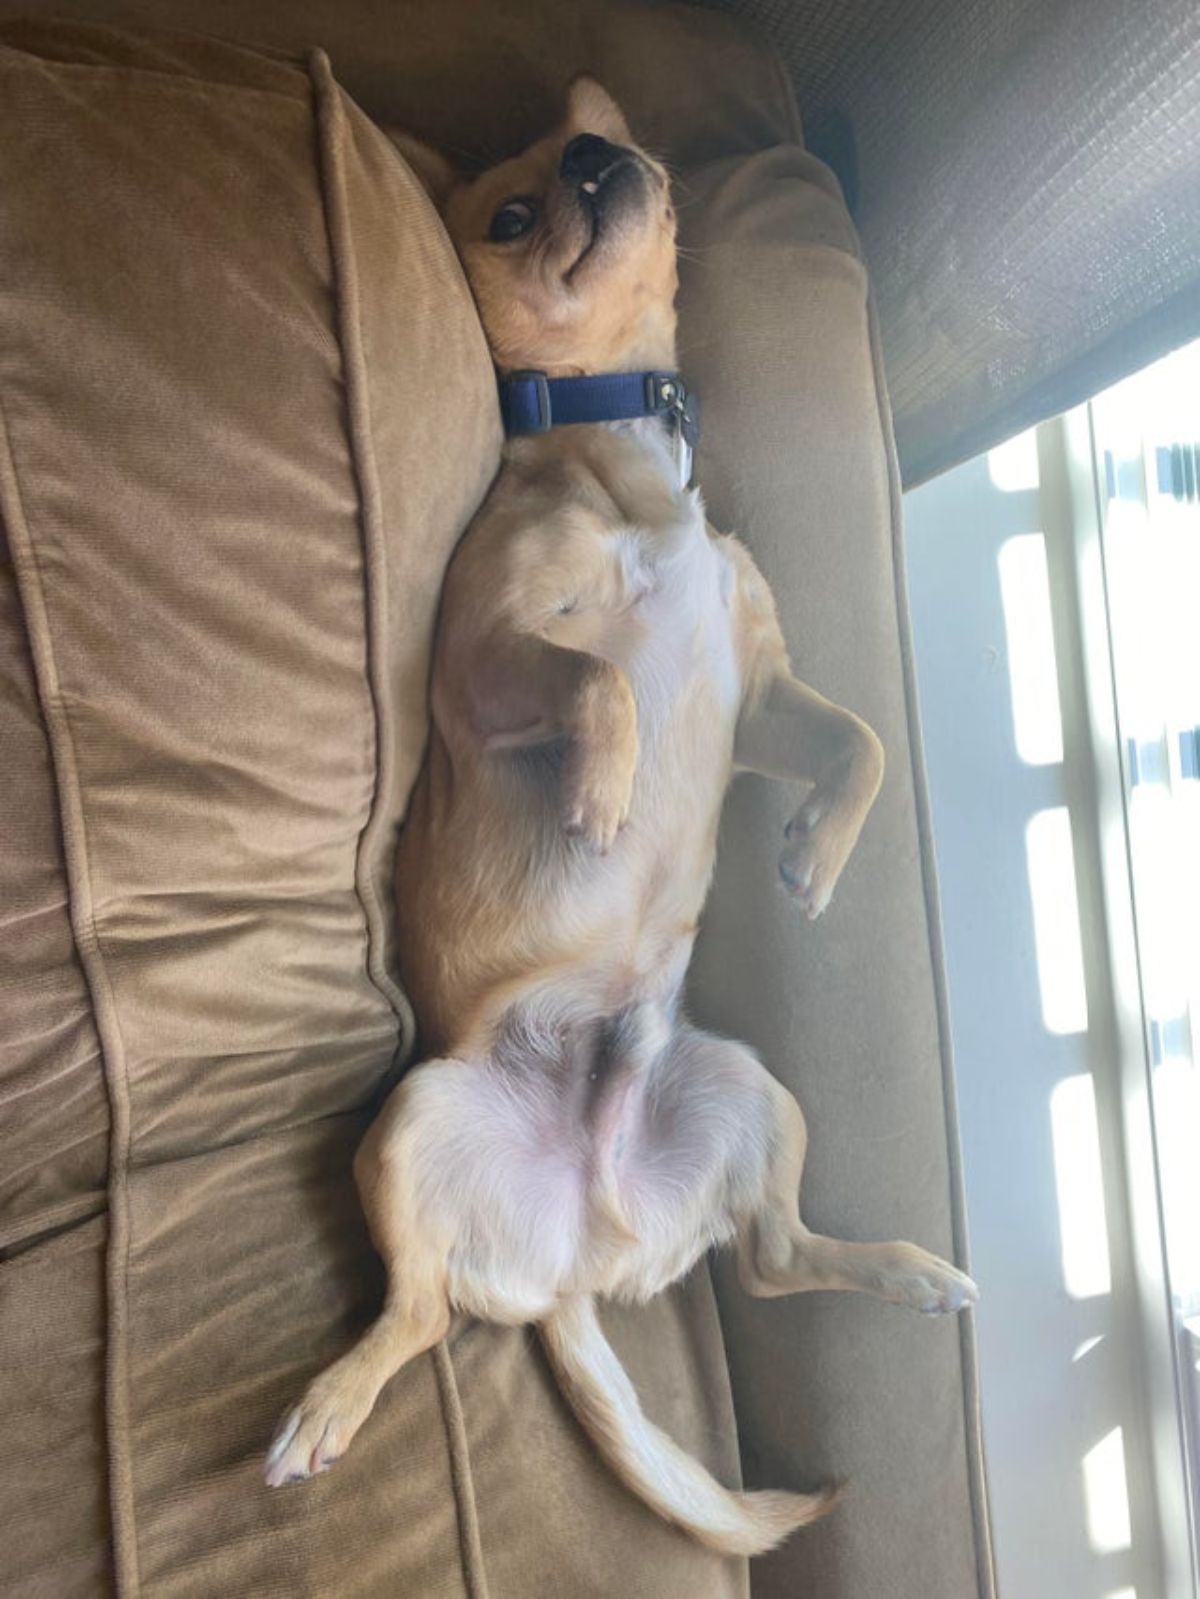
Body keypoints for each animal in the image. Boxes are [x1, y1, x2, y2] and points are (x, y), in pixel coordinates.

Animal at [265, 77, 979, 1560]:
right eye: (513, 211)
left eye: (605, 143)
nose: (601, 157)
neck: (622, 455)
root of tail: (576, 1263)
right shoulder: (485, 665)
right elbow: (596, 680)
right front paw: (603, 789)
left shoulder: (761, 697)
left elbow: (862, 740)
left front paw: (813, 854)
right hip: (411, 1122)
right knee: (416, 1311)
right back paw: (327, 1406)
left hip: (753, 1097)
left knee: (772, 1264)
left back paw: (915, 1273)